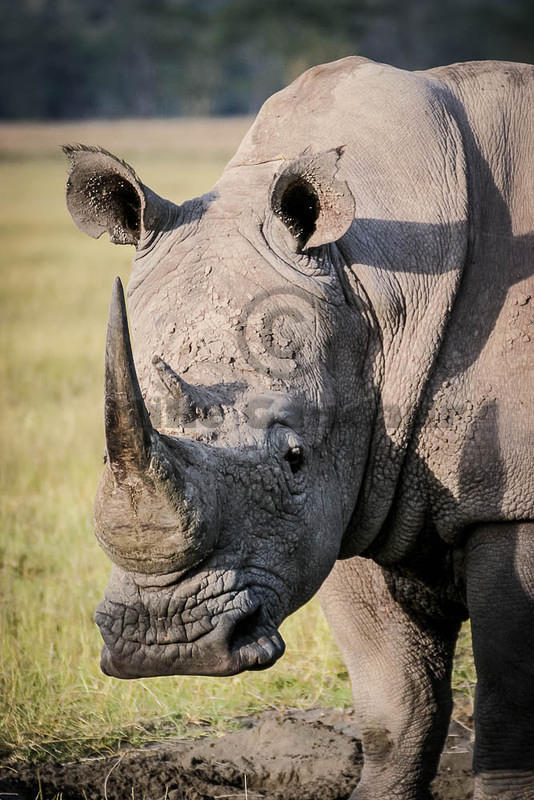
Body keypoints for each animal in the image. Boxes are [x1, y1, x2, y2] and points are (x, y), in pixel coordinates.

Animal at [66, 57, 534, 800]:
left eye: (293, 458)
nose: (167, 641)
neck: (371, 281)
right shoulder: (355, 478)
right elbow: (395, 704)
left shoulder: (509, 504)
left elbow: (509, 704)